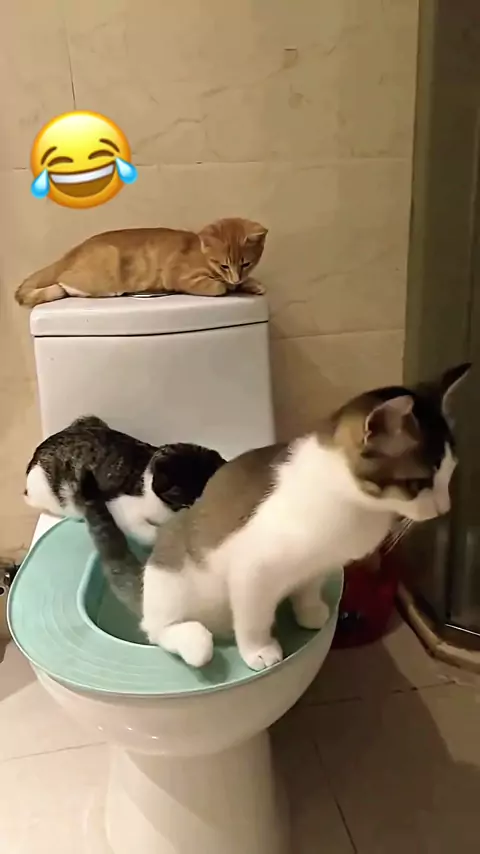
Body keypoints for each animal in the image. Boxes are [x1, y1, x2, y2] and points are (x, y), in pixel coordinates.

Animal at [14, 217, 268, 308]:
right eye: (224, 265)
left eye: (246, 264)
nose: (236, 277)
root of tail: (70, 253)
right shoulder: (180, 276)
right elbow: (218, 287)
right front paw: (229, 286)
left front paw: (251, 284)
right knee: (65, 285)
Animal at [78, 364, 470, 671]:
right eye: (419, 483)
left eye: (450, 472)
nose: (445, 508)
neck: (352, 504)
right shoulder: (253, 569)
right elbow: (253, 618)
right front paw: (260, 650)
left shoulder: (319, 562)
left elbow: (309, 587)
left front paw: (309, 611)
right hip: (172, 577)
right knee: (159, 630)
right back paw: (194, 641)